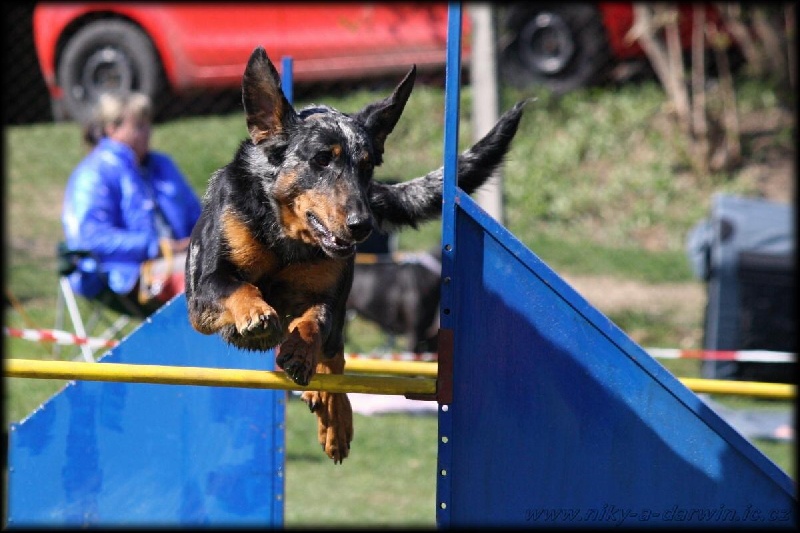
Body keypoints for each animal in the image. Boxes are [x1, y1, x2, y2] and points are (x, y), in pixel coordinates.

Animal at [185, 46, 527, 463]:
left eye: (366, 166)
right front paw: (255, 312)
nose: (362, 225)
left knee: (336, 360)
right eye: (321, 159)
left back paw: (335, 417)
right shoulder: (203, 292)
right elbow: (237, 287)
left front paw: (301, 351)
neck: (286, 241)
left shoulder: (328, 301)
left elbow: (314, 322)